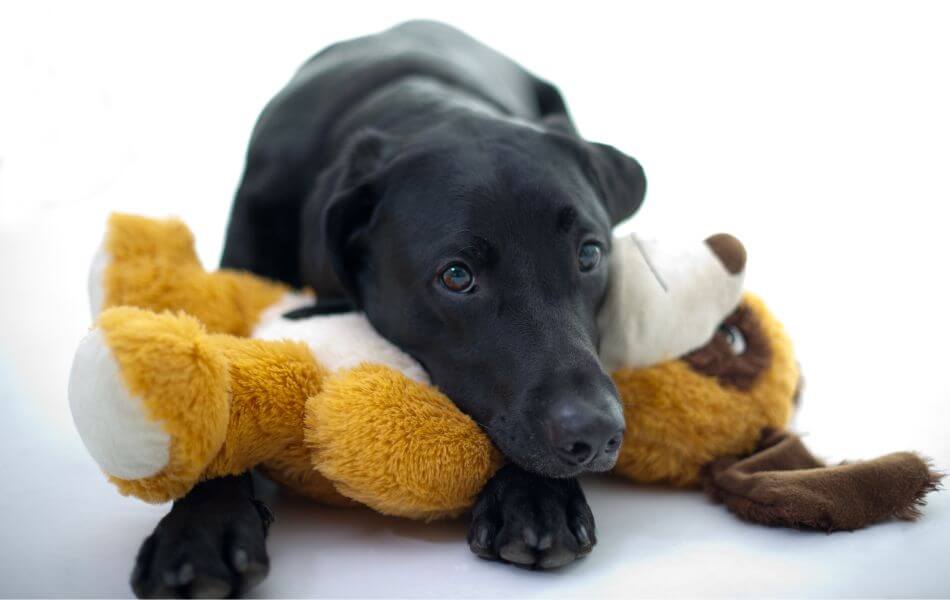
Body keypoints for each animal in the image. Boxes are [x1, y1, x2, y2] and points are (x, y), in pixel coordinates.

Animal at [130, 21, 648, 596]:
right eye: (456, 276)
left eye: (589, 254)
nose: (595, 434)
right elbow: (218, 402)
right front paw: (200, 529)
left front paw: (539, 497)